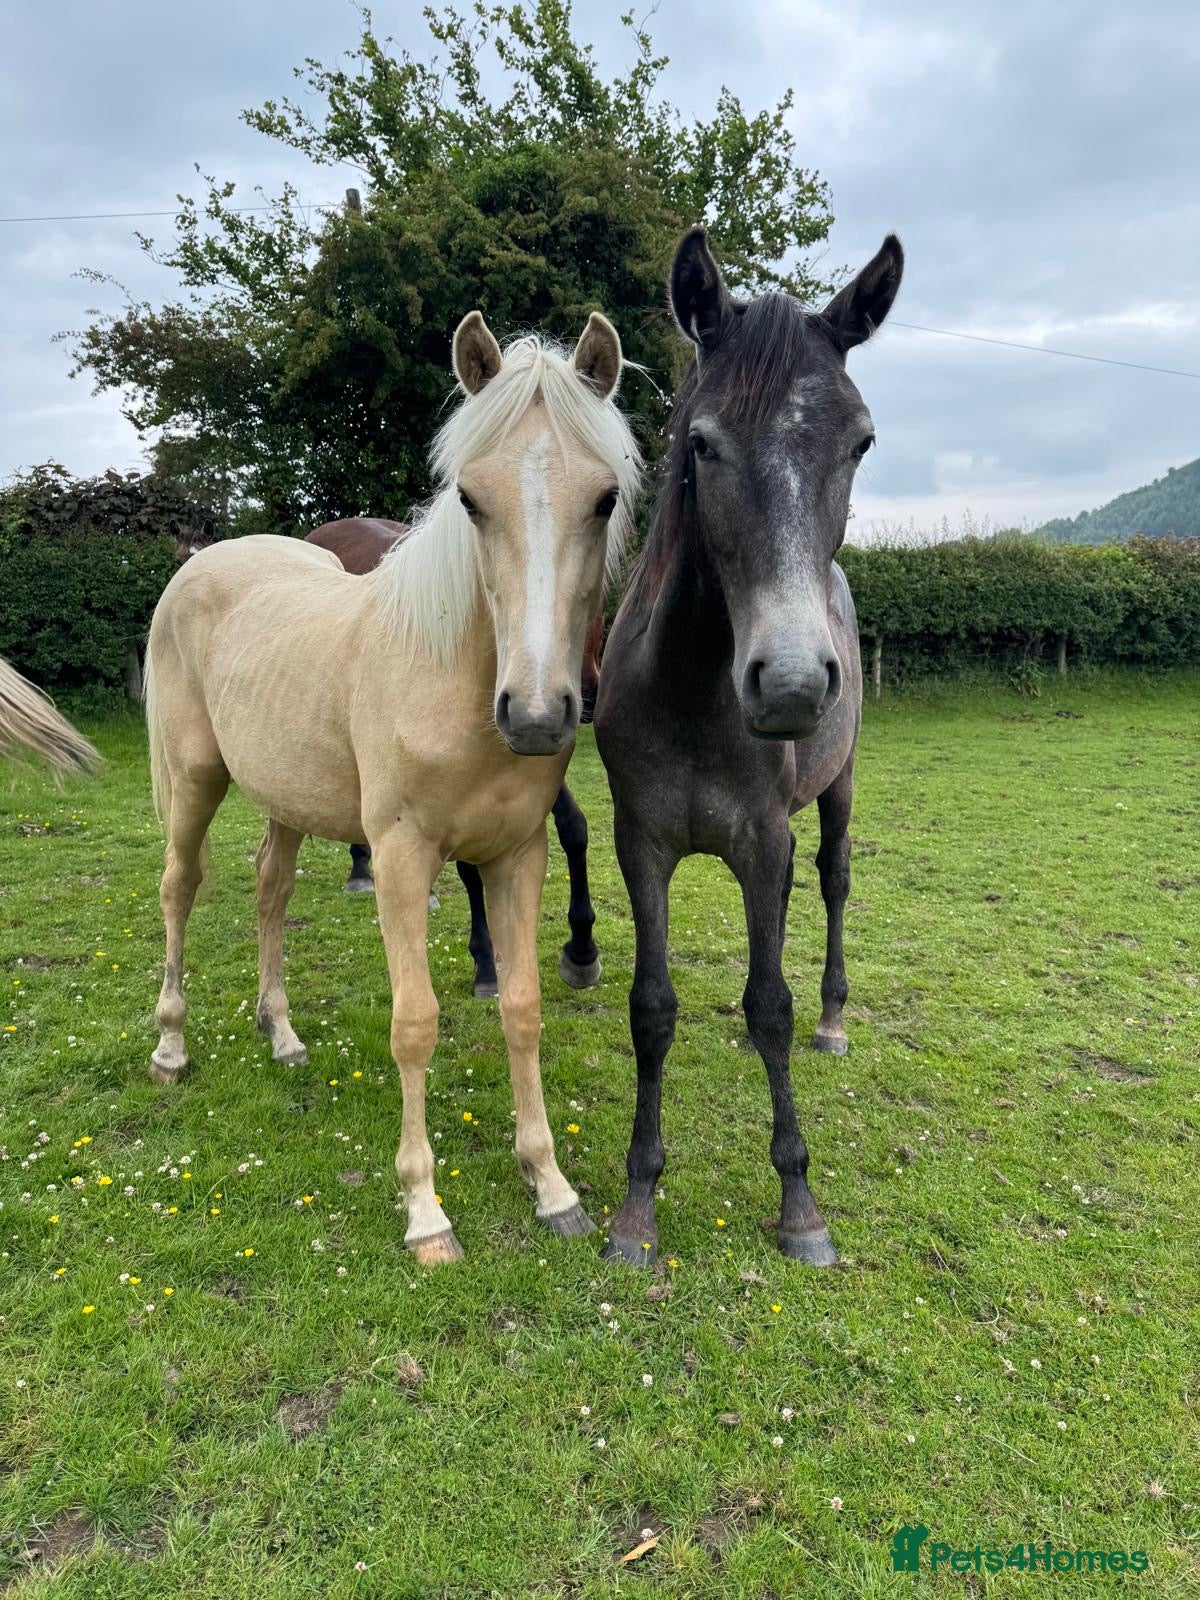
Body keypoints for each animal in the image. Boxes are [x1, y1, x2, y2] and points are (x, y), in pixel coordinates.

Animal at [305, 517, 605, 995]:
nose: (586, 698)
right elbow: (469, 868)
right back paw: (360, 869)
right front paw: (485, 964)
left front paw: (582, 949)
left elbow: (573, 828)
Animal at [594, 228, 903, 1269]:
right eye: (702, 443)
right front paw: (636, 1207)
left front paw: (799, 1204)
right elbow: (652, 1010)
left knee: (835, 881)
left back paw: (835, 1019)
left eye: (859, 442)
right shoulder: (642, 844)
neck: (696, 691)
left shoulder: (764, 841)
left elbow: (771, 1005)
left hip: (839, 788)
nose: (796, 683)